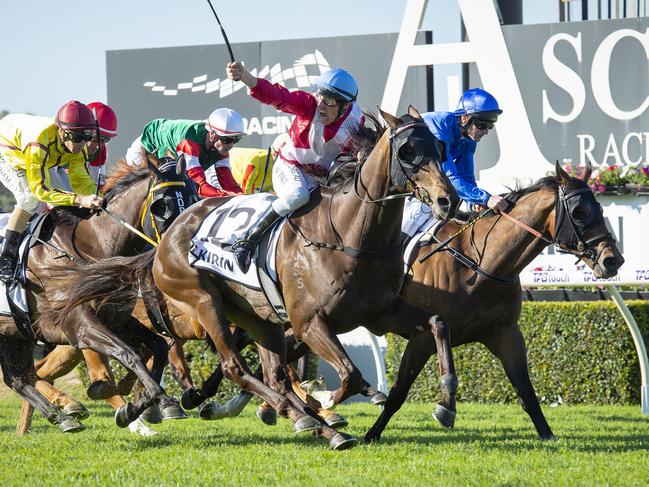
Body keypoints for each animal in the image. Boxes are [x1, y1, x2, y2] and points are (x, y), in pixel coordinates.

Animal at [1, 155, 196, 430]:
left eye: (192, 197)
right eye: (162, 206)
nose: (183, 253)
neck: (91, 250)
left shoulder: (117, 318)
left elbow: (158, 347)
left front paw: (132, 408)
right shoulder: (78, 324)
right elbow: (128, 353)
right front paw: (155, 399)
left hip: (13, 333)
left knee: (17, 379)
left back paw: (61, 417)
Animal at [48, 108, 458, 452]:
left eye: (439, 147)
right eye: (408, 150)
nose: (447, 200)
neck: (348, 233)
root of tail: (165, 241)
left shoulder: (380, 312)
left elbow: (437, 322)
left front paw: (446, 402)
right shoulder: (309, 323)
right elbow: (351, 375)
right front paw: (324, 401)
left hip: (258, 317)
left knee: (269, 373)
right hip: (203, 302)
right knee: (234, 367)